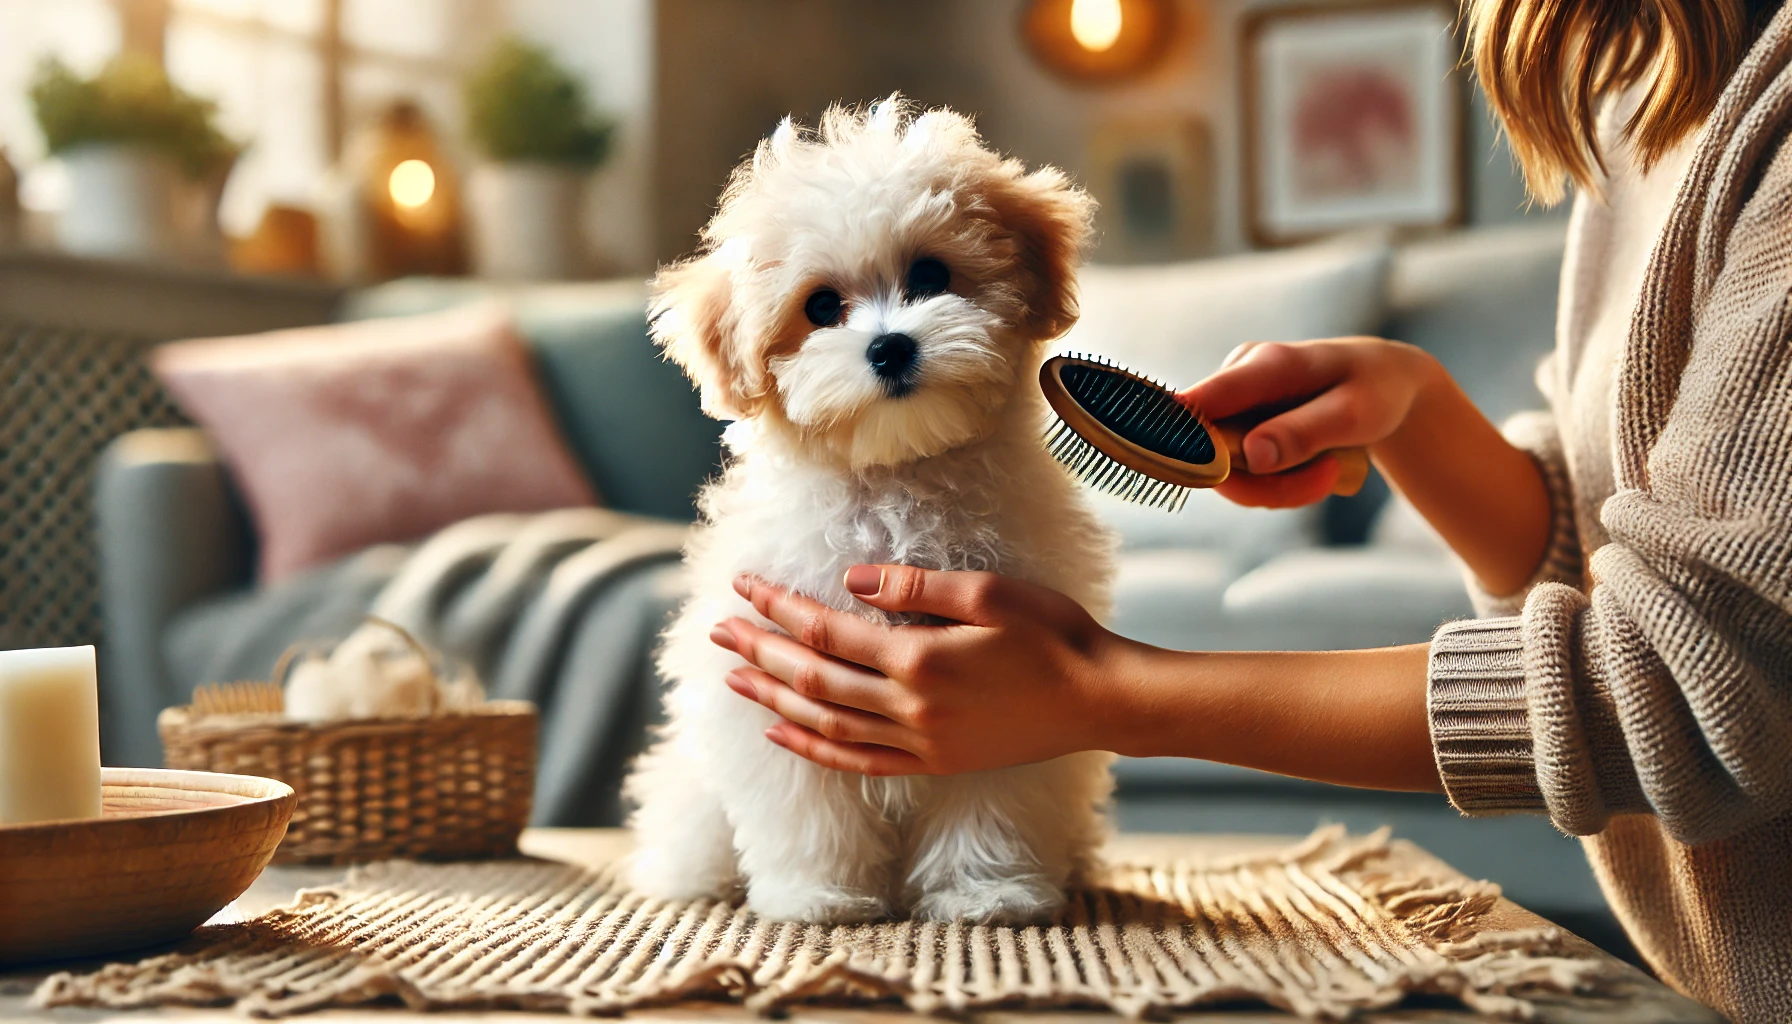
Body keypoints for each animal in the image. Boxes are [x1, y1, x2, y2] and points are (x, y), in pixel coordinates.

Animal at [623, 98, 1111, 932]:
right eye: (820, 307)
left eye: (930, 275)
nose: (889, 347)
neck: (897, 481)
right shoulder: (775, 684)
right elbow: (805, 803)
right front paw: (816, 895)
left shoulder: (1007, 686)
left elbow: (994, 793)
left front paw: (985, 894)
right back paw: (692, 878)